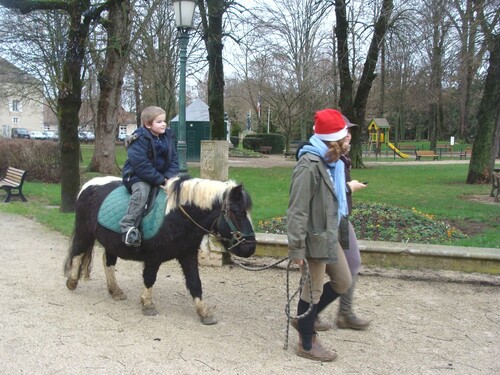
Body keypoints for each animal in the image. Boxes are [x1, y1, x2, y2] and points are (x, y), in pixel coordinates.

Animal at [64, 176, 256, 326]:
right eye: (235, 212)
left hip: (111, 241)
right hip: (84, 232)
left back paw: (115, 291)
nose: (250, 247)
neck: (179, 216)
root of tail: (87, 185)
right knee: (78, 253)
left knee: (107, 261)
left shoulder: (187, 254)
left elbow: (195, 282)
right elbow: (149, 278)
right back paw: (72, 282)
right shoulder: (153, 257)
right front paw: (147, 304)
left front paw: (204, 313)